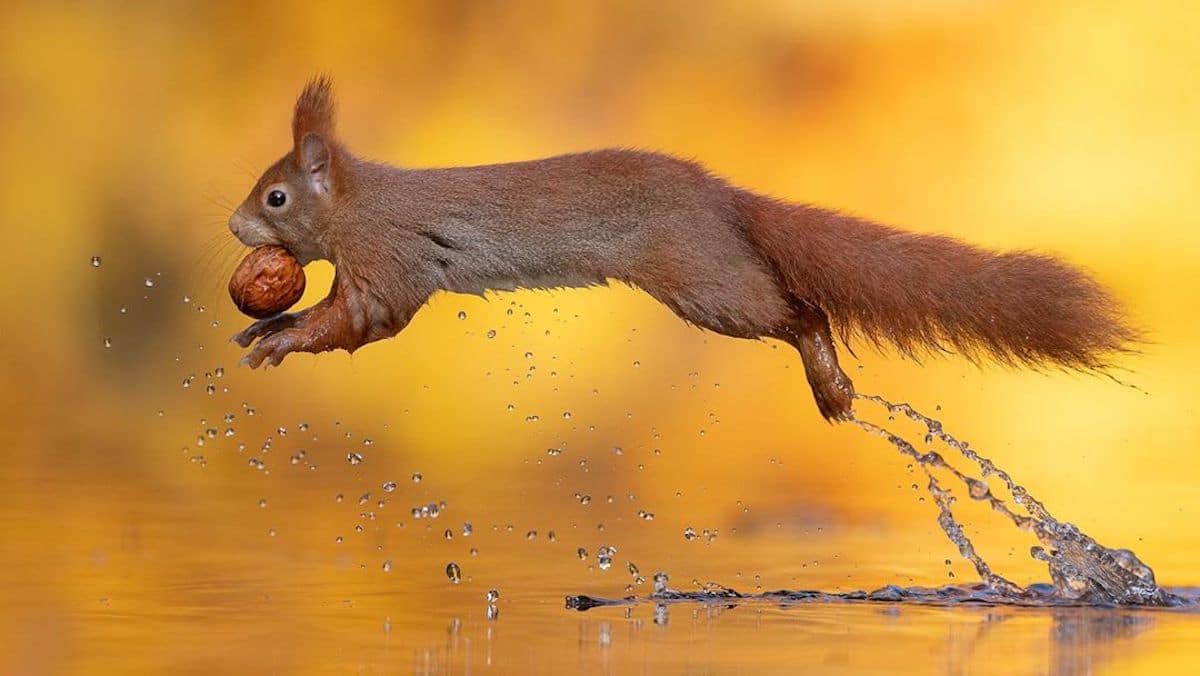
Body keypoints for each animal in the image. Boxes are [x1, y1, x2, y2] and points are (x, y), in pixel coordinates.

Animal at [229, 78, 1136, 421]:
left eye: (275, 196)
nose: (235, 226)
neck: (361, 200)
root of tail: (724, 199)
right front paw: (259, 326)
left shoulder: (391, 260)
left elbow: (363, 320)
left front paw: (280, 337)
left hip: (707, 281)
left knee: (801, 310)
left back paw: (831, 383)